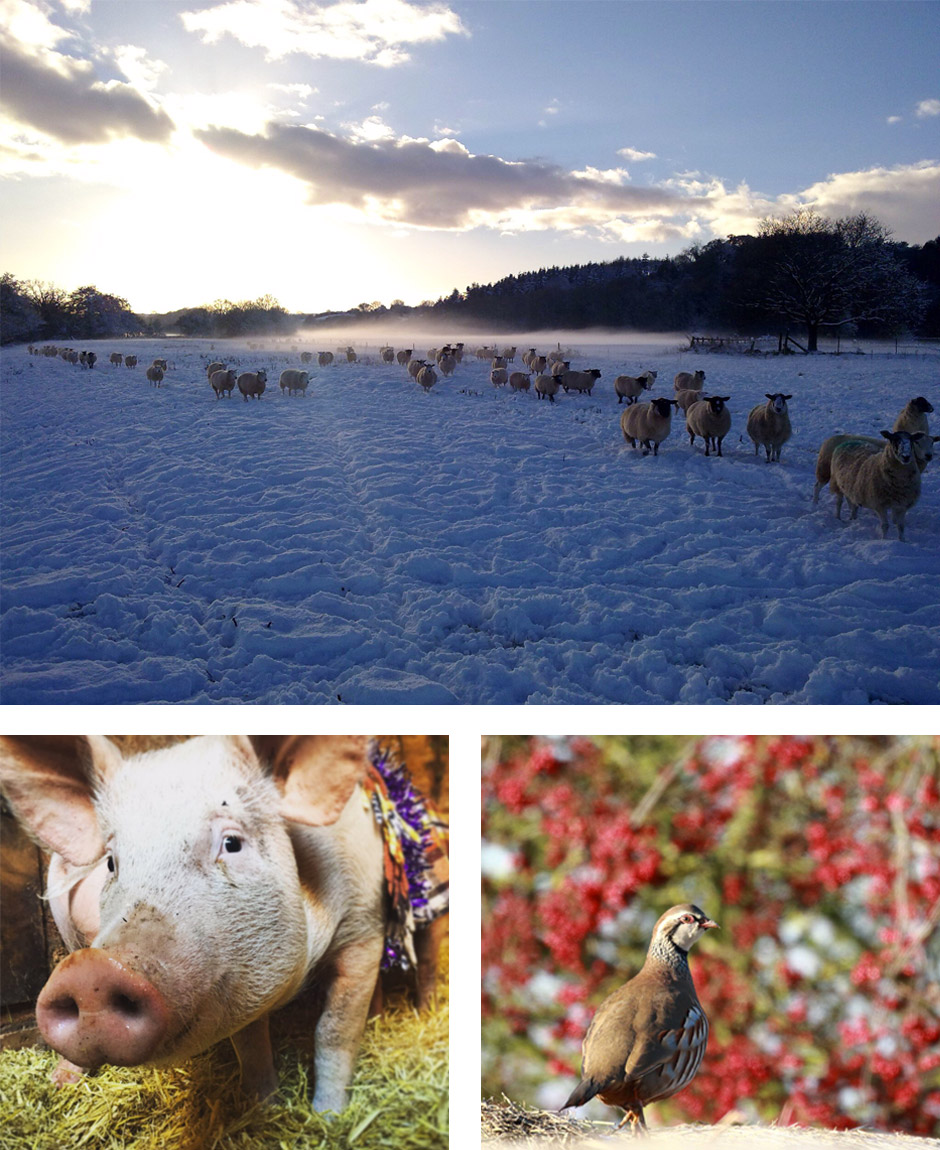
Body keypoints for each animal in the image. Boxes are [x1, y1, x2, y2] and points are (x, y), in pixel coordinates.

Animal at [0, 736, 446, 1113]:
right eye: (112, 862)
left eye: (232, 843)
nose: (91, 971)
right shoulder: (236, 983)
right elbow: (250, 1047)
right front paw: (265, 1109)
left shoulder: (364, 930)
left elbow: (335, 1030)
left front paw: (327, 1118)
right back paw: (60, 1082)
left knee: (426, 958)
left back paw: (423, 1012)